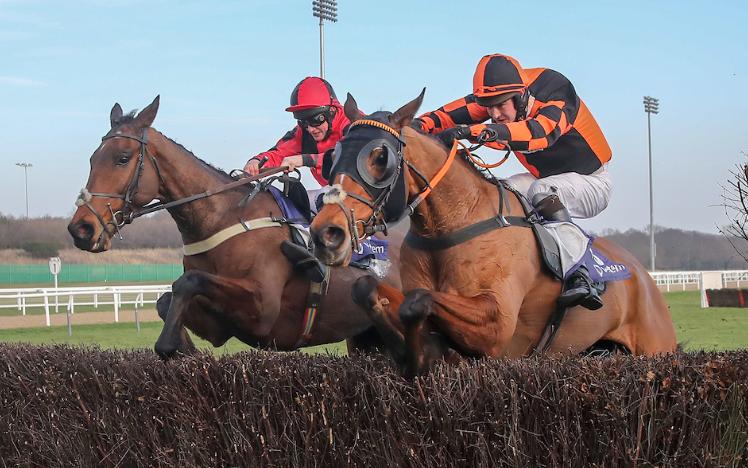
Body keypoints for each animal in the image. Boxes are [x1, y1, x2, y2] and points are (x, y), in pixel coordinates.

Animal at [66, 96, 400, 358]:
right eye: (93, 159)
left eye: (122, 158)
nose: (81, 229)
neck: (221, 217)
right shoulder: (220, 324)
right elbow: (166, 300)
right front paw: (183, 349)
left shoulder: (263, 312)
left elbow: (187, 282)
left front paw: (170, 345)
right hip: (364, 336)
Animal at [310, 91, 676, 376]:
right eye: (333, 156)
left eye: (380, 157)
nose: (326, 233)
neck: (452, 225)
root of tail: (642, 275)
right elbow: (370, 289)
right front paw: (415, 352)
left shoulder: (497, 325)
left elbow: (418, 302)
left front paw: (416, 357)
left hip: (655, 346)